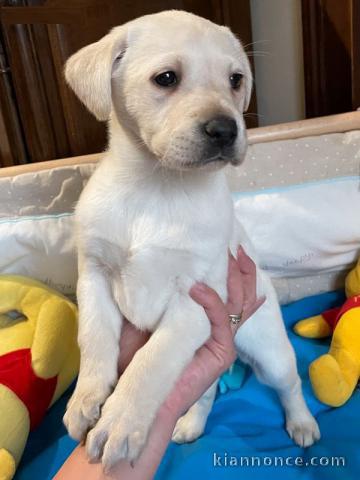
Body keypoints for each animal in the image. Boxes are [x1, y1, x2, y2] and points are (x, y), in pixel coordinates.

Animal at [63, 9, 320, 470]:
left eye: (236, 79)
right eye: (166, 78)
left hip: (271, 351)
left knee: (290, 385)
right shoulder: (93, 276)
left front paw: (121, 419)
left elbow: (150, 362)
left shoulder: (196, 299)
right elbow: (93, 339)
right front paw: (85, 399)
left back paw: (303, 425)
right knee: (204, 392)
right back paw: (190, 424)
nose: (226, 130)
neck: (156, 187)